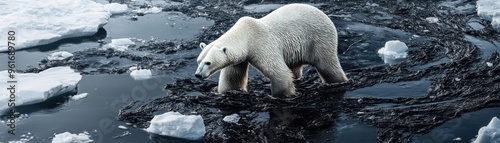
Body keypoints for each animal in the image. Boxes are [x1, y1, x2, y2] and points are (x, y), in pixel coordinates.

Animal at [195, 3, 348, 96]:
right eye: (198, 61)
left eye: (208, 62)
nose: (197, 75)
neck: (246, 35)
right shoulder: (239, 58)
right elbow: (232, 77)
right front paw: (228, 91)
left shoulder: (262, 44)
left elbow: (279, 72)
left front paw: (282, 94)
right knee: (295, 66)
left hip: (319, 39)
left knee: (327, 65)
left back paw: (339, 81)